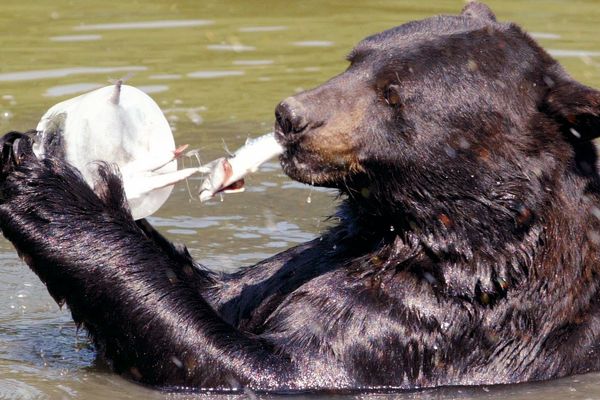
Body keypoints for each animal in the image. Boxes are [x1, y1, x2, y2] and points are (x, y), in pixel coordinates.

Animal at [1, 0, 600, 392]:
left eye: (394, 95)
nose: (291, 116)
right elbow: (222, 291)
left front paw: (49, 188)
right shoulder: (324, 255)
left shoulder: (431, 333)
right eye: (356, 57)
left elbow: (251, 363)